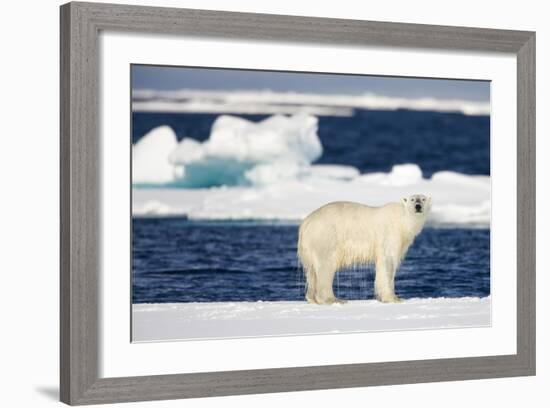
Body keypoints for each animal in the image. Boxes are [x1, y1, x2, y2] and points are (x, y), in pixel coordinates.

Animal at [300, 194, 434, 302]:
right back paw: (333, 299)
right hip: (326, 237)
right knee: (325, 265)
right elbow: (388, 263)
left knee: (311, 271)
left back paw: (311, 298)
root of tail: (306, 223)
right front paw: (393, 298)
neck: (402, 220)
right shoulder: (390, 235)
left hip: (309, 246)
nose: (418, 206)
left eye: (423, 199)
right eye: (412, 199)